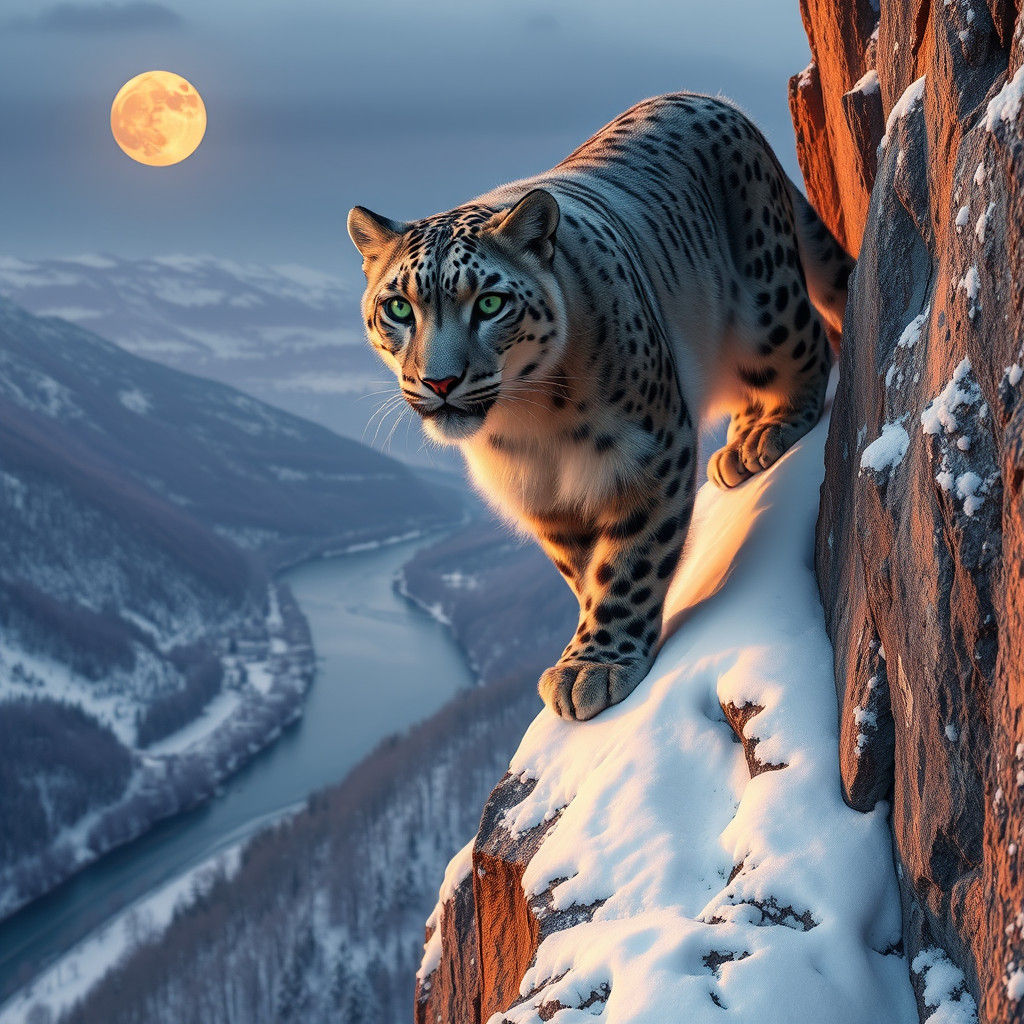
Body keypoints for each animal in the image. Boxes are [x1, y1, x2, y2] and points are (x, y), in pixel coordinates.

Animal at [347, 92, 853, 721]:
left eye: (489, 303)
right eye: (398, 307)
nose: (439, 381)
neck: (533, 428)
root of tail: (717, 102)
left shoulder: (648, 452)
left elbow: (630, 562)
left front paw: (594, 667)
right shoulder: (544, 498)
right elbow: (584, 570)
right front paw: (583, 647)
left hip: (767, 307)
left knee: (809, 343)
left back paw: (763, 436)